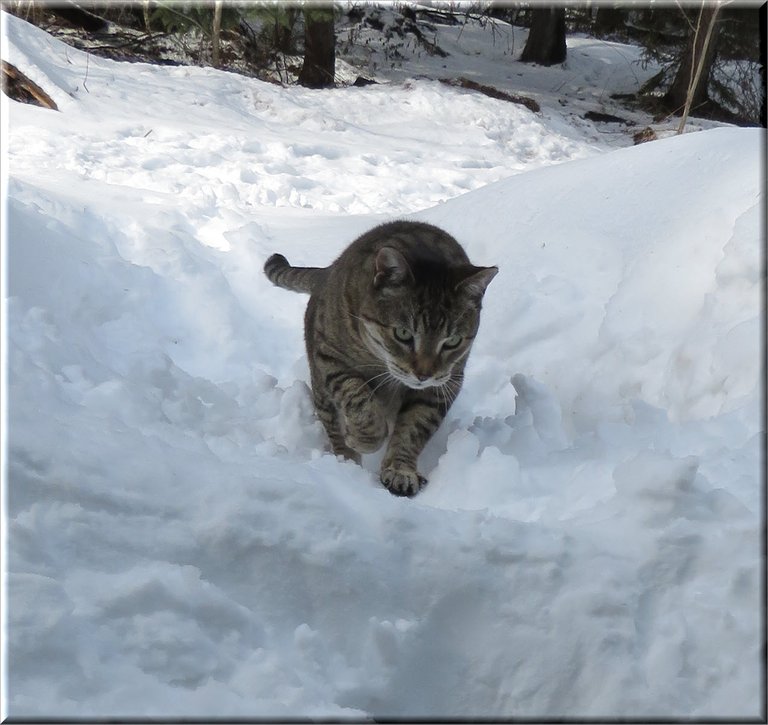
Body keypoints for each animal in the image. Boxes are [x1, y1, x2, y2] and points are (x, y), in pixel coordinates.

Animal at [264, 218, 496, 494]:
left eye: (452, 341)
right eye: (403, 333)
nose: (424, 374)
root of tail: (327, 271)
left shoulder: (444, 384)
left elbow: (414, 427)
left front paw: (400, 469)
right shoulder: (331, 359)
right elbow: (359, 401)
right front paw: (361, 440)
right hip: (320, 382)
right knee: (331, 421)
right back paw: (345, 461)